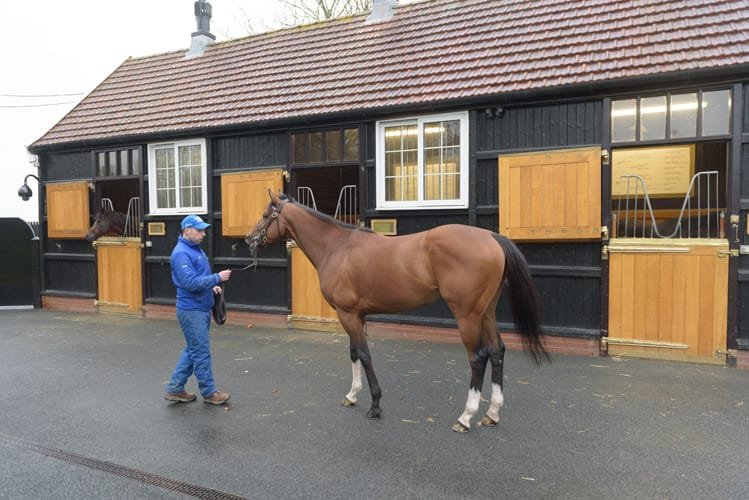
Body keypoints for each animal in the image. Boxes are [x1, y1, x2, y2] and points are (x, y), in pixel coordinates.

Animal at [246, 191, 549, 432]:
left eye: (265, 215)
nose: (250, 240)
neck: (338, 247)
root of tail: (490, 236)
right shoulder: (355, 315)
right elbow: (354, 353)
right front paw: (352, 395)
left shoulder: (348, 314)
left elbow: (364, 355)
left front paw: (375, 405)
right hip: (486, 313)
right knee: (497, 352)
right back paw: (492, 414)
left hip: (468, 316)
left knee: (478, 358)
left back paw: (465, 417)